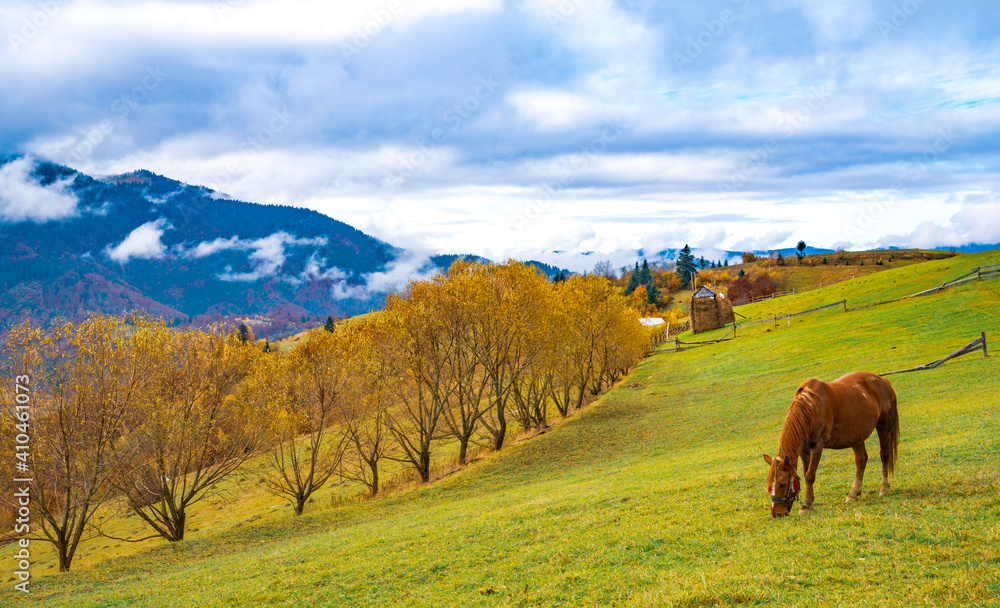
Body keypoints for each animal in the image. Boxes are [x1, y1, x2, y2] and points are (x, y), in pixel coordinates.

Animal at [763, 371, 899, 517]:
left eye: (782, 484)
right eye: (770, 484)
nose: (777, 513)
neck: (811, 407)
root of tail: (883, 381)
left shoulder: (817, 446)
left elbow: (810, 476)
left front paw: (805, 506)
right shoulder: (804, 450)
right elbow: (806, 473)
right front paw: (809, 501)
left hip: (883, 427)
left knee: (885, 455)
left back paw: (884, 488)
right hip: (856, 436)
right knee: (861, 460)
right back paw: (853, 494)